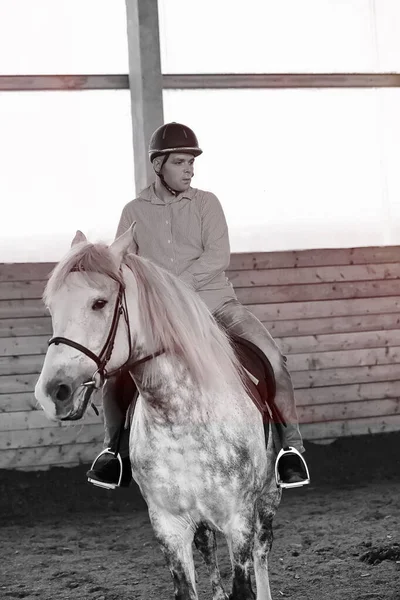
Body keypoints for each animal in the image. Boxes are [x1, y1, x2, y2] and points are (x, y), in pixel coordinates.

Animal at [36, 226, 282, 600]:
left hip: (267, 496)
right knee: (207, 545)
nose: (54, 392)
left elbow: (245, 579)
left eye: (99, 302)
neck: (181, 419)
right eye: (52, 307)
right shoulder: (168, 525)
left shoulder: (238, 518)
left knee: (261, 550)